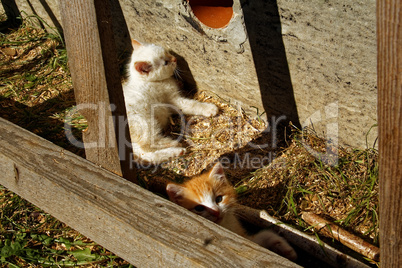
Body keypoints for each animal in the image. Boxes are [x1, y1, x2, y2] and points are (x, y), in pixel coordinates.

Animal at [165, 162, 296, 260]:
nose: (216, 212)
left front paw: (284, 246)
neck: (226, 226)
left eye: (219, 199)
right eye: (199, 208)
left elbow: (265, 235)